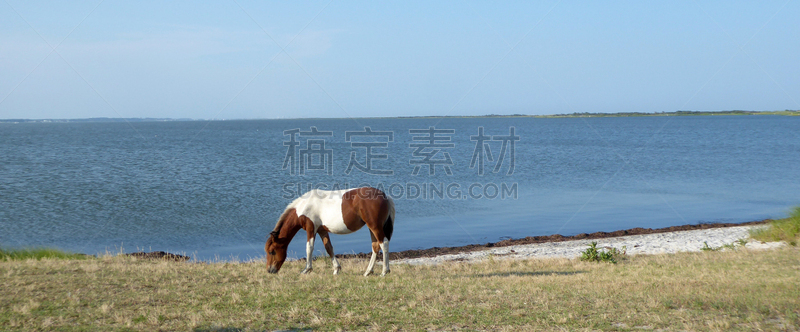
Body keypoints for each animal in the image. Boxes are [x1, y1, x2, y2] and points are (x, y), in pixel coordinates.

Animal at [268, 188, 396, 276]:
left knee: (383, 244)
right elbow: (329, 248)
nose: (270, 270)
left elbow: (309, 247)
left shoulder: (311, 228)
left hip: (375, 227)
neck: (304, 206)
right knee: (375, 246)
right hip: (371, 228)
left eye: (272, 251)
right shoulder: (322, 230)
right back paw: (368, 272)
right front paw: (336, 269)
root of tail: (384, 196)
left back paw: (384, 271)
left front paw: (306, 270)